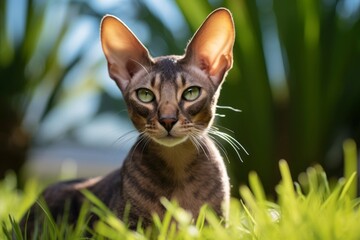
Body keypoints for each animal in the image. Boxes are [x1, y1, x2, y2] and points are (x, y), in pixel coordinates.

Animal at [21, 7, 238, 232]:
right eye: (145, 95)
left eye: (191, 93)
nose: (168, 120)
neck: (177, 163)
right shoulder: (125, 227)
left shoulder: (218, 225)